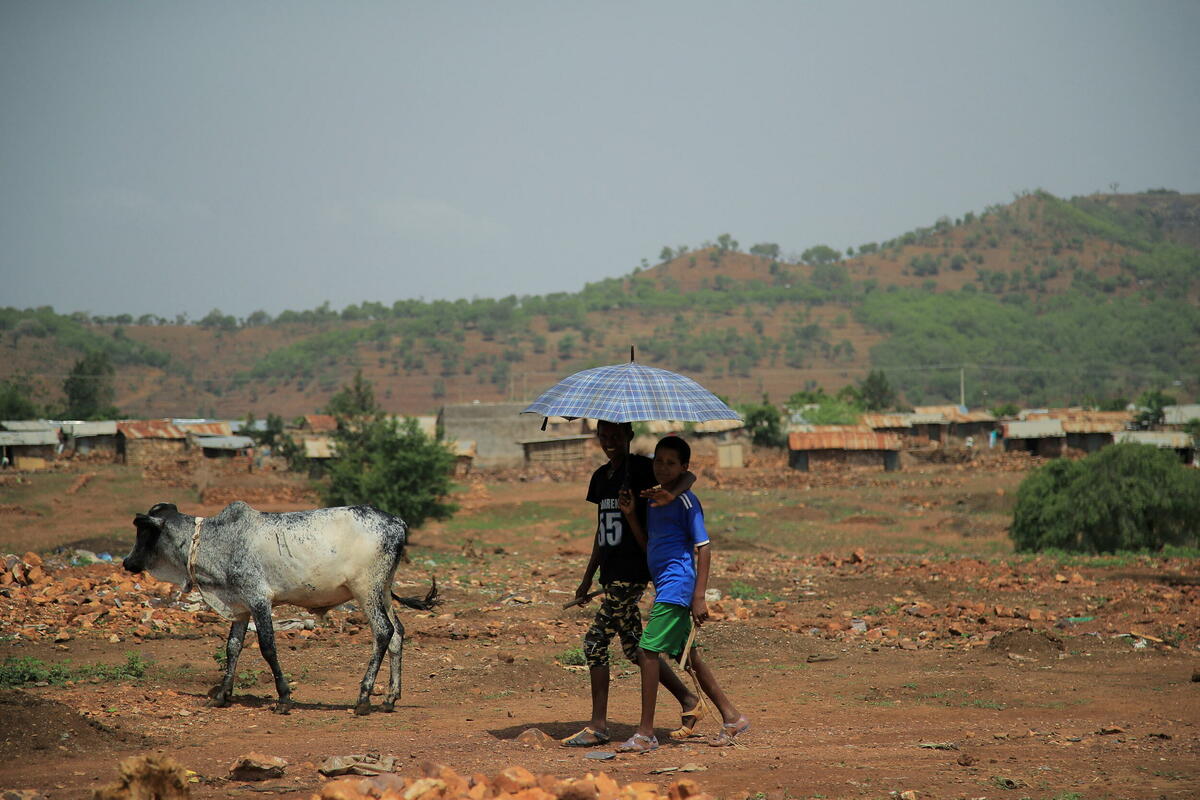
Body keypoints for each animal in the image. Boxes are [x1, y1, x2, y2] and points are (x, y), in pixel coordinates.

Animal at [123, 500, 434, 715]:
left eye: (143, 532)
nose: (127, 562)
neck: (217, 541)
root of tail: (397, 522)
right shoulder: (241, 605)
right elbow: (232, 648)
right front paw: (222, 694)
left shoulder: (259, 600)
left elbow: (267, 647)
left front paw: (284, 698)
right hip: (382, 591)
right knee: (397, 633)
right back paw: (390, 697)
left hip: (366, 590)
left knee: (383, 631)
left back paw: (364, 697)